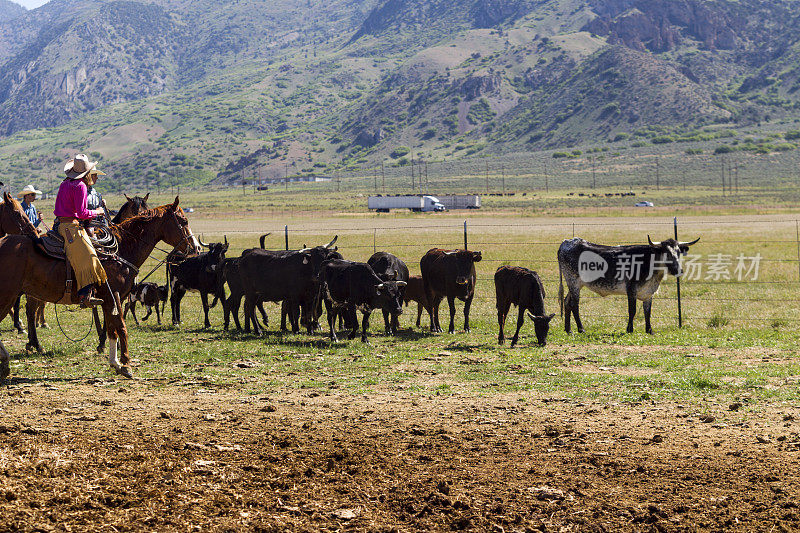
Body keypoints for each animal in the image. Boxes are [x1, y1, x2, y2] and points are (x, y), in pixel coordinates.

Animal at [0, 197, 198, 380]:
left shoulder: (110, 300)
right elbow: (121, 327)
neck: (120, 250)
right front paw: (126, 364)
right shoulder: (114, 295)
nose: (194, 247)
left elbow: (112, 329)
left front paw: (115, 362)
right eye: (183, 221)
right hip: (9, 294)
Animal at [560, 236, 696, 334]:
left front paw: (649, 330)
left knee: (567, 302)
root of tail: (567, 242)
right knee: (574, 305)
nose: (678, 270)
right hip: (573, 282)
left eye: (678, 252)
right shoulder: (631, 290)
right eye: (666, 252)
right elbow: (632, 310)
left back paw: (568, 329)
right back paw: (581, 329)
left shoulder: (648, 293)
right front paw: (629, 329)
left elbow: (647, 312)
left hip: (574, 285)